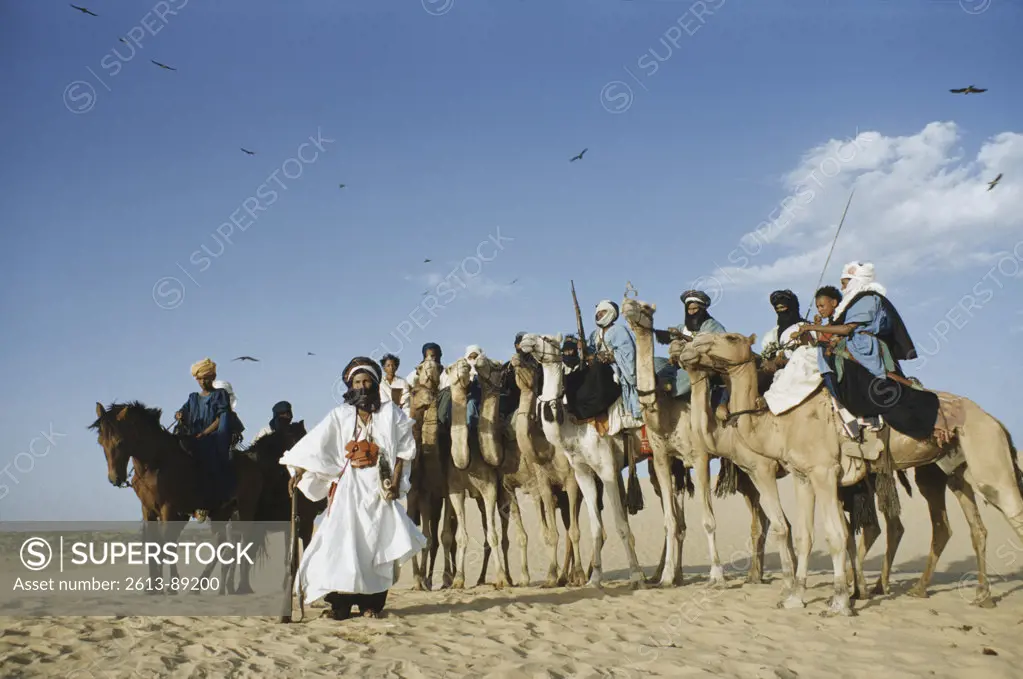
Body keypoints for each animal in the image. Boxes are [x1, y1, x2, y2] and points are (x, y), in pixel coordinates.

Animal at [617, 296, 793, 589]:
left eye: (645, 307)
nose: (628, 304)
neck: (665, 412)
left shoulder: (699, 456)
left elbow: (708, 520)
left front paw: (717, 575)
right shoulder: (662, 459)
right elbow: (670, 521)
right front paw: (667, 577)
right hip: (746, 475)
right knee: (764, 517)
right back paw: (755, 575)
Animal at [679, 331, 1023, 613]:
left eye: (730, 337)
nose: (688, 349)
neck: (778, 422)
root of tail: (997, 422)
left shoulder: (820, 472)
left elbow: (834, 534)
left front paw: (839, 602)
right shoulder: (803, 476)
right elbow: (804, 535)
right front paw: (795, 598)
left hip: (987, 457)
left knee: (1010, 510)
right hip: (954, 470)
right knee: (971, 527)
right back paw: (976, 595)